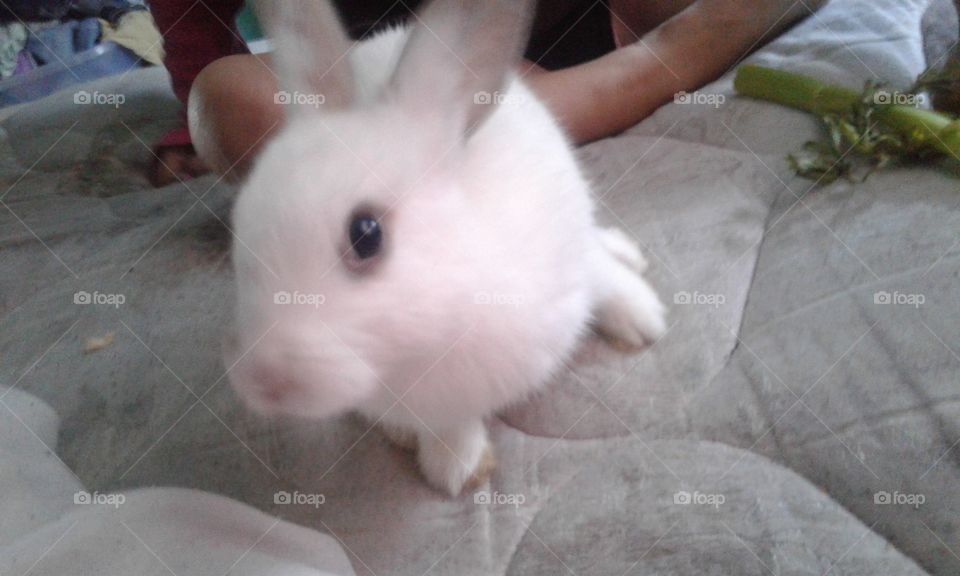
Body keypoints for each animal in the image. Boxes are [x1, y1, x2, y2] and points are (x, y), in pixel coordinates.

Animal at [224, 0, 667, 496]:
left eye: (366, 234)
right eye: (237, 225)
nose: (262, 382)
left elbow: (601, 280)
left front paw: (645, 321)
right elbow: (448, 425)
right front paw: (456, 466)